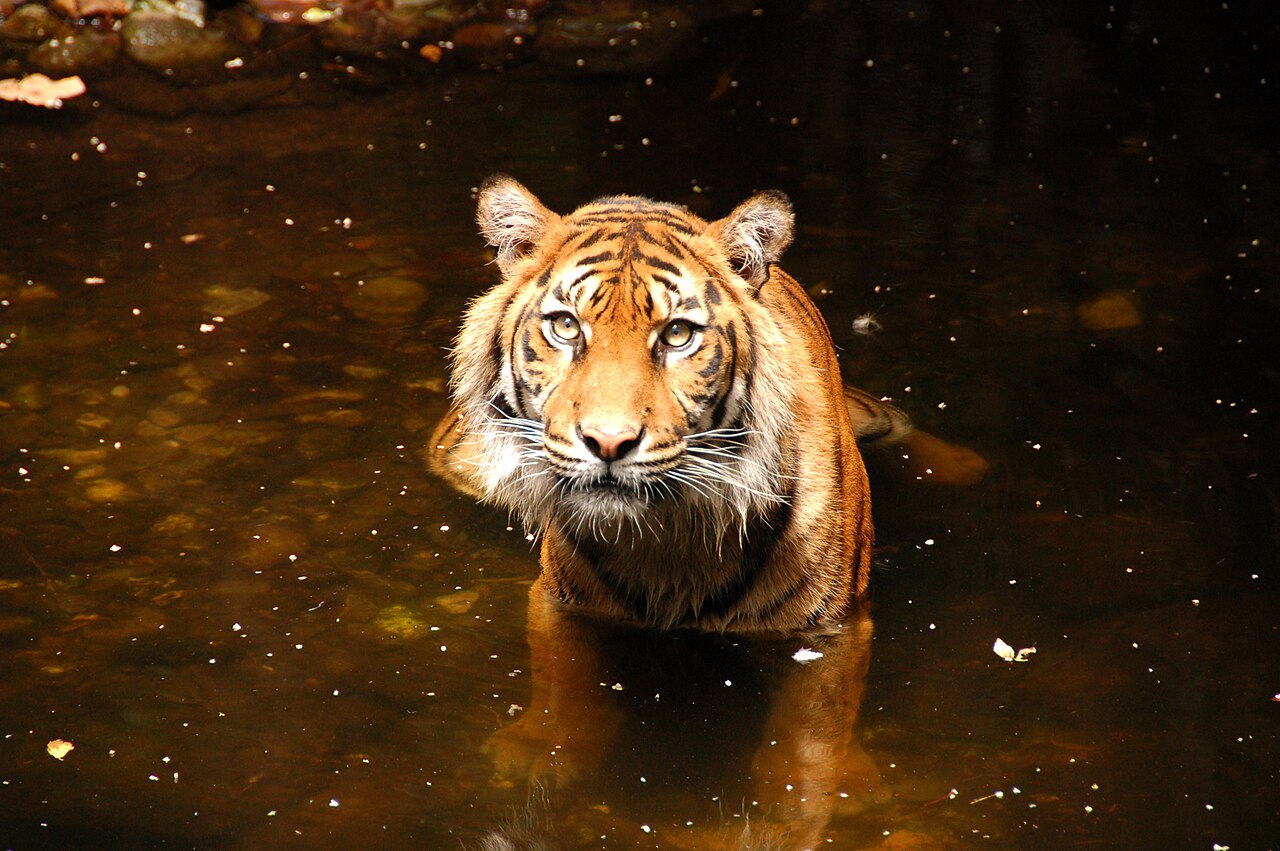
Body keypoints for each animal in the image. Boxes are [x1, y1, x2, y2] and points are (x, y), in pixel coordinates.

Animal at [430, 175, 985, 633]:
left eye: (677, 334)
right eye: (566, 326)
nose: (608, 442)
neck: (666, 543)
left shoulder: (834, 633)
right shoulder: (559, 609)